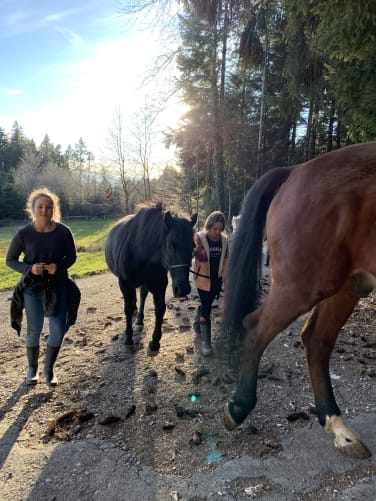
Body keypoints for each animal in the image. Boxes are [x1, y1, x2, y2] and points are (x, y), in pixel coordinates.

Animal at [105, 203, 197, 356]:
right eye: (171, 244)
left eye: (193, 246)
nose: (183, 289)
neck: (140, 251)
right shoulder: (124, 283)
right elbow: (127, 309)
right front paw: (128, 340)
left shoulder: (159, 285)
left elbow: (160, 309)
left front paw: (154, 343)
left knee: (142, 295)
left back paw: (139, 320)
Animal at [222, 141, 376, 458]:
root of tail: (296, 170)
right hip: (303, 285)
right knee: (255, 327)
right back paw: (239, 406)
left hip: (347, 284)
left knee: (317, 340)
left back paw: (338, 426)